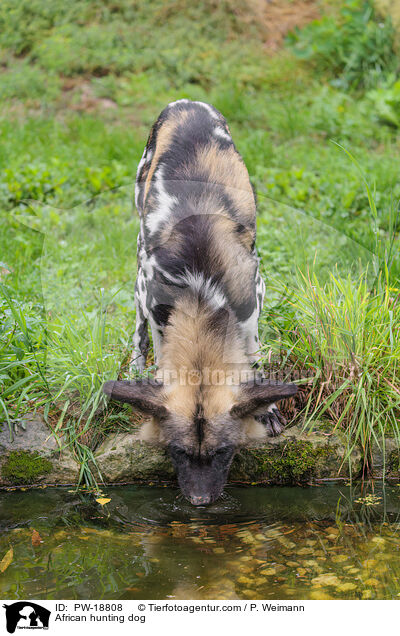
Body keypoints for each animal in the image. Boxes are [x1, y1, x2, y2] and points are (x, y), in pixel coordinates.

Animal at [103, 99, 296, 504]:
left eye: (224, 453)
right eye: (177, 452)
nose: (200, 502)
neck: (199, 291)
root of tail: (187, 103)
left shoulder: (250, 306)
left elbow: (254, 364)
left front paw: (267, 409)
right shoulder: (158, 311)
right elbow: (159, 352)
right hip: (140, 259)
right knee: (138, 330)